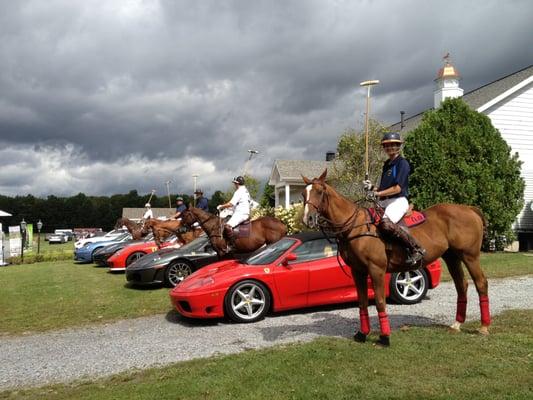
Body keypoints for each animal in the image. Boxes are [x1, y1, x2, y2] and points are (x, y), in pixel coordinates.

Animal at [302, 170, 488, 346]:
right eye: (304, 194)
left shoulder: (376, 269)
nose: (307, 219)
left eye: (319, 191)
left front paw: (385, 337)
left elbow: (379, 302)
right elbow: (362, 302)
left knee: (480, 283)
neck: (354, 226)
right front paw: (362, 334)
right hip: (452, 257)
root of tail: (470, 209)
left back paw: (484, 327)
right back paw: (457, 324)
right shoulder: (358, 271)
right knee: (462, 285)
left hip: (470, 256)